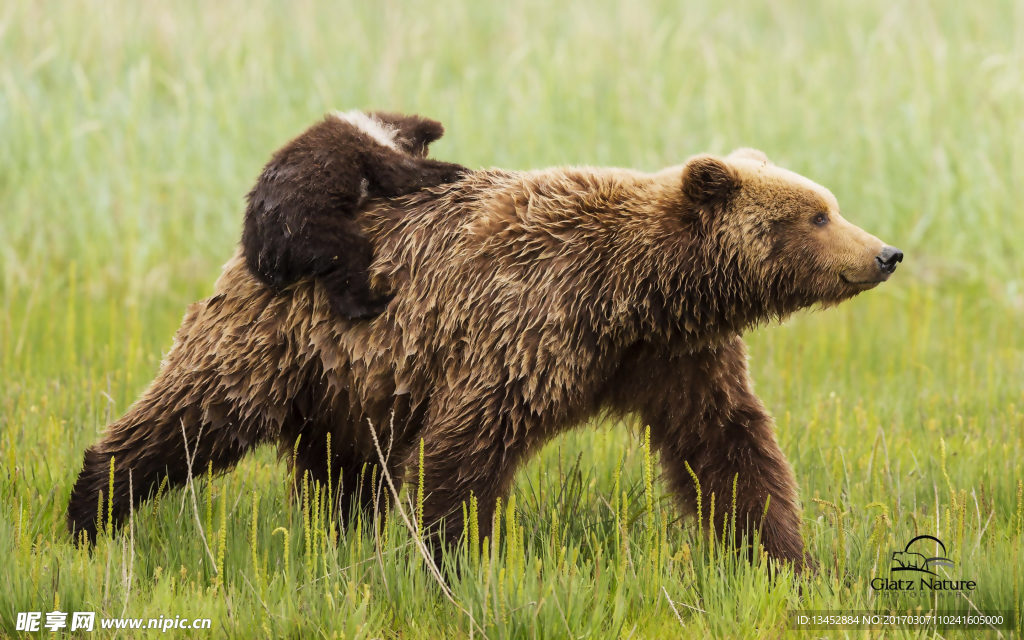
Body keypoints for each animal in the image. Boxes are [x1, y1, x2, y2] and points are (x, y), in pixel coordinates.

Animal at [68, 146, 905, 569]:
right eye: (816, 214)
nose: (886, 253)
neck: (638, 292)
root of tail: (260, 236)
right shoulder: (530, 325)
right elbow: (468, 449)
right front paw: (451, 561)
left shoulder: (673, 358)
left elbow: (729, 448)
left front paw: (781, 557)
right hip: (281, 338)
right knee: (194, 415)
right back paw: (91, 510)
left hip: (353, 380)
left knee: (343, 471)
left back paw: (340, 538)